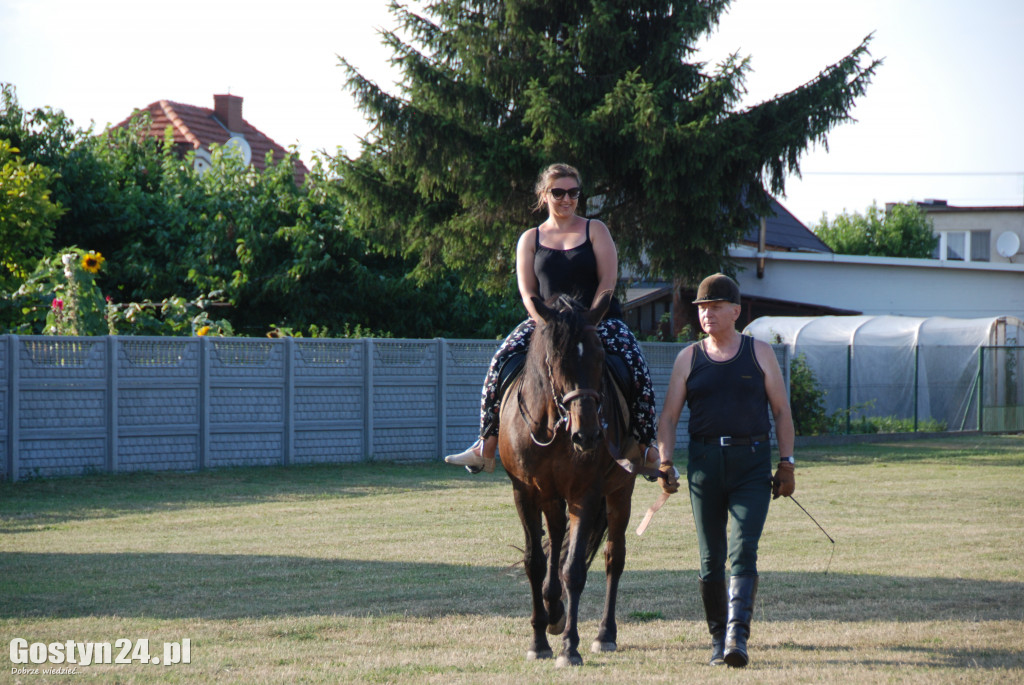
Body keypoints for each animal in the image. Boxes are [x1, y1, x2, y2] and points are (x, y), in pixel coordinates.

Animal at [499, 290, 634, 667]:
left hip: (620, 492)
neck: (552, 426)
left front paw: (569, 647)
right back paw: (553, 610)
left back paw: (604, 634)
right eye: (556, 359)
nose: (587, 435)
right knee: (556, 540)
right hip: (550, 497)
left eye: (600, 357)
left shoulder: (584, 494)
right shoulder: (525, 493)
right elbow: (535, 562)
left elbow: (573, 570)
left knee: (613, 557)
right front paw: (539, 640)